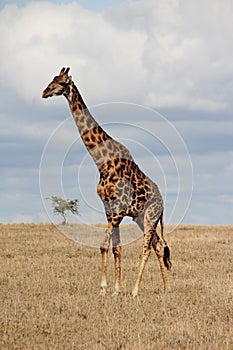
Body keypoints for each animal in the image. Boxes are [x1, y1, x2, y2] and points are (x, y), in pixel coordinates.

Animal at [41, 67, 171, 296]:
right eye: (52, 78)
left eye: (62, 82)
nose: (44, 92)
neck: (102, 162)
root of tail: (162, 202)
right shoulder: (110, 209)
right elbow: (116, 248)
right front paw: (116, 289)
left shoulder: (117, 211)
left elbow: (103, 245)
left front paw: (104, 288)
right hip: (140, 217)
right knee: (157, 245)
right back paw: (166, 287)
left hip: (150, 216)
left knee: (147, 248)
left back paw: (136, 290)